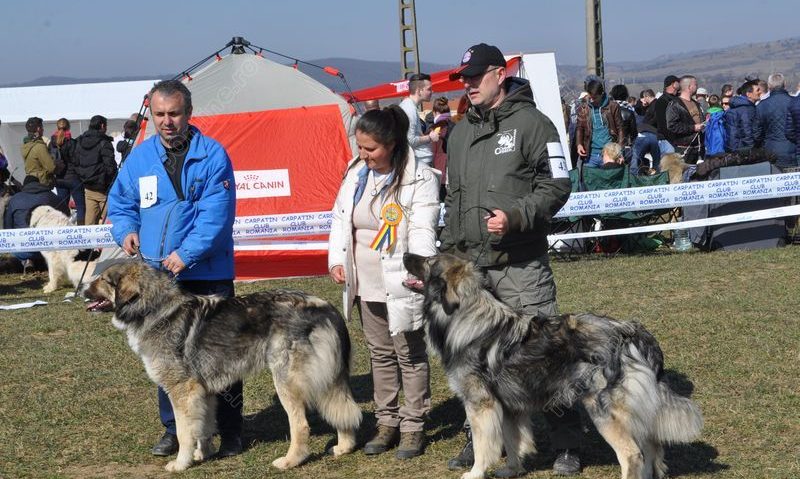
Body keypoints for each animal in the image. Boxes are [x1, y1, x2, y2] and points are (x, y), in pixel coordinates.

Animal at [83, 260, 360, 474]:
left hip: (286, 381)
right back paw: (344, 447)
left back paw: (290, 461)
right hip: (327, 377)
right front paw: (202, 455)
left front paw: (180, 464)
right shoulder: (203, 392)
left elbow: (184, 432)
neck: (154, 309)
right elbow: (203, 427)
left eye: (104, 280)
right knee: (343, 409)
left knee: (301, 425)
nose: (82, 289)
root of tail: (325, 307)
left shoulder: (182, 391)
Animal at [404, 253, 704, 478]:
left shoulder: (480, 404)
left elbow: (483, 445)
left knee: (633, 454)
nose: (405, 254)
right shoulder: (510, 407)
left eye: (429, 260)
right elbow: (512, 440)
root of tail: (629, 331)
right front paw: (512, 470)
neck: (464, 316)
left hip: (603, 410)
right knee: (652, 449)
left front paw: (476, 473)